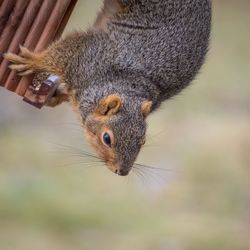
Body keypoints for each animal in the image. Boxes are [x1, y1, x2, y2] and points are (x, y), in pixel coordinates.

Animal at [3, 0, 211, 176]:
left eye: (142, 141)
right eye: (107, 138)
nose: (122, 172)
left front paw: (53, 96)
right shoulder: (86, 53)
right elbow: (61, 51)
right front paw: (32, 61)